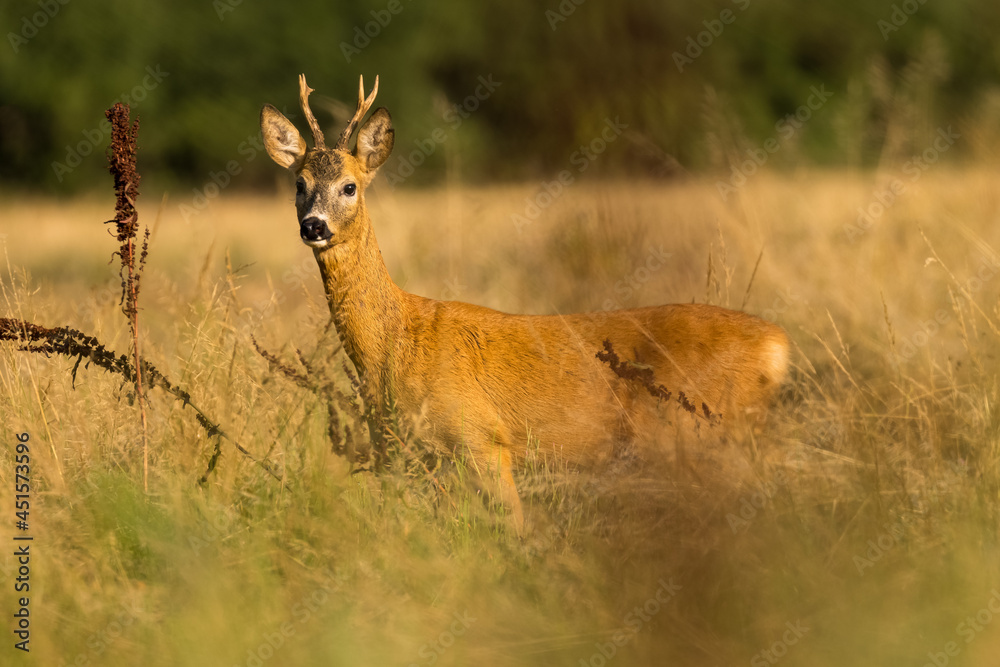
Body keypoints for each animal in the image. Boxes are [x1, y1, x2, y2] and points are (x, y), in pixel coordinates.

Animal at [260, 74, 790, 535]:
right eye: (299, 185)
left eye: (350, 186)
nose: (314, 226)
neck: (397, 344)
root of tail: (777, 345)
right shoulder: (412, 456)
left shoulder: (483, 440)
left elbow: (512, 531)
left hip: (703, 432)